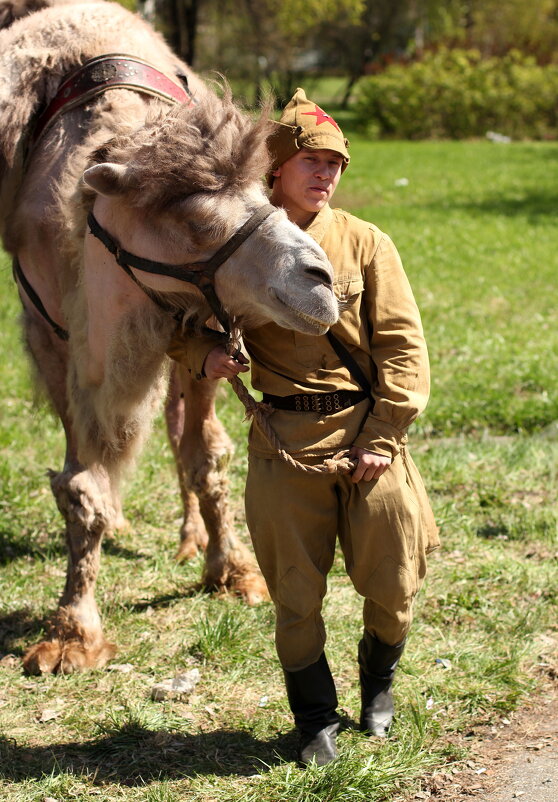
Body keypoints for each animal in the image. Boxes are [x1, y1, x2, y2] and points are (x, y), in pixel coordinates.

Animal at [0, 0, 340, 672]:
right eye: (194, 221)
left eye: (264, 193)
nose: (320, 279)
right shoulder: (54, 334)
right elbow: (78, 486)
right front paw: (70, 633)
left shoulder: (198, 321)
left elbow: (206, 454)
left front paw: (234, 572)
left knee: (180, 430)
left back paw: (190, 538)